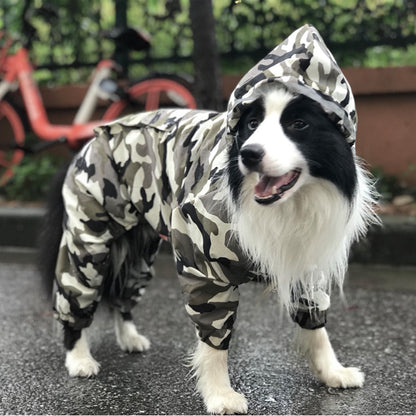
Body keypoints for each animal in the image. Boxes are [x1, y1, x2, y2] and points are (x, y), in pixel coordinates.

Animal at [40, 25, 378, 412]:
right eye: (251, 124)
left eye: (299, 124)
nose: (248, 154)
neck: (287, 204)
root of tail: (87, 142)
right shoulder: (202, 262)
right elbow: (214, 339)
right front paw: (220, 395)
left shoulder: (307, 263)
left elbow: (316, 325)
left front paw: (332, 372)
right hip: (89, 239)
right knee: (77, 293)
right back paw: (78, 357)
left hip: (140, 250)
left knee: (122, 291)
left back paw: (130, 337)